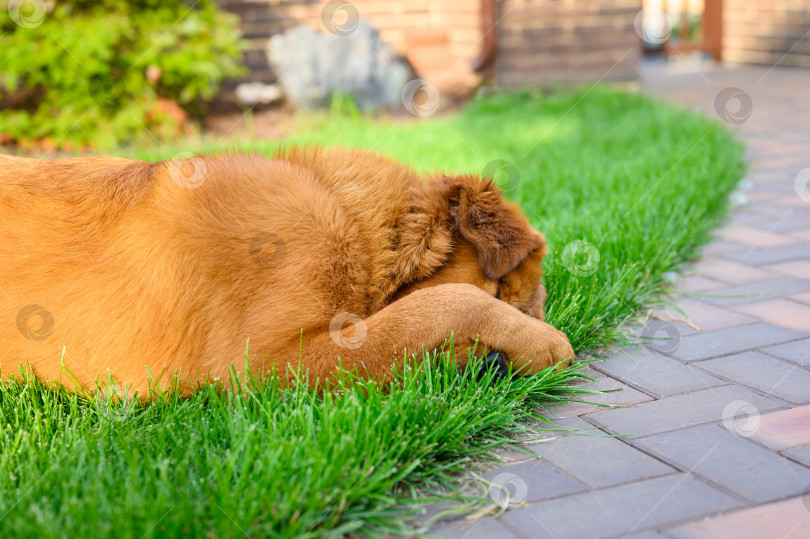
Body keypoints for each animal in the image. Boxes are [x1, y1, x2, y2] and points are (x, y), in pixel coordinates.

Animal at [0, 148, 576, 396]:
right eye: (500, 289)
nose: (492, 366)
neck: (353, 219)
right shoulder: (265, 361)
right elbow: (444, 303)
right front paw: (544, 344)